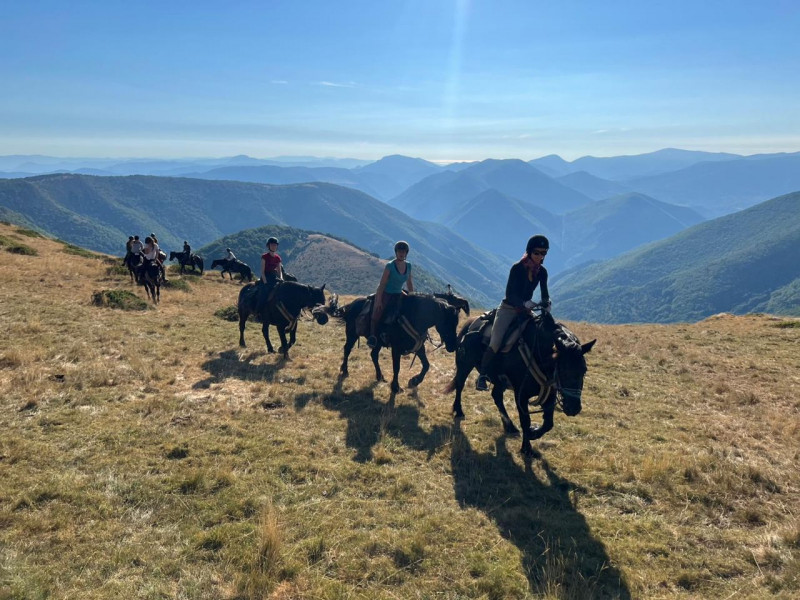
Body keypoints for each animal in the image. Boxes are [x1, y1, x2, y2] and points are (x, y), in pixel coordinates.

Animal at [328, 294, 460, 394]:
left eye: (456, 323)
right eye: (448, 323)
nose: (453, 346)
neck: (414, 317)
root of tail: (350, 305)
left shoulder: (419, 347)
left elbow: (426, 365)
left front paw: (414, 381)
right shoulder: (396, 349)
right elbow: (397, 367)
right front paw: (396, 387)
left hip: (377, 342)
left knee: (373, 355)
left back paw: (380, 376)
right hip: (352, 334)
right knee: (347, 349)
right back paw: (345, 370)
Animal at [446, 310, 596, 454]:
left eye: (584, 370)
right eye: (563, 369)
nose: (573, 408)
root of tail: (469, 324)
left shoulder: (551, 393)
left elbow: (548, 423)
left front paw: (533, 433)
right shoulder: (521, 394)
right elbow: (525, 420)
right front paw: (527, 448)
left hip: (499, 380)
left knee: (497, 396)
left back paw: (509, 426)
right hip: (464, 365)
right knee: (460, 385)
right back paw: (459, 411)